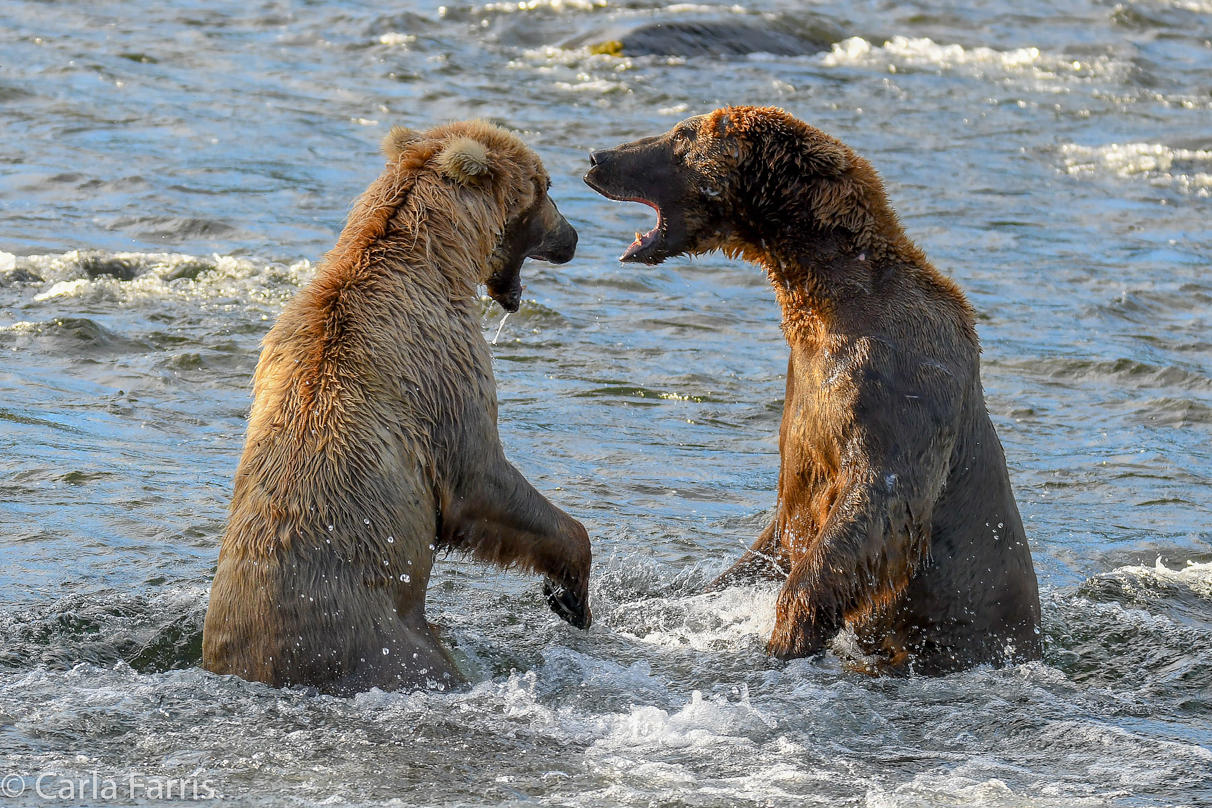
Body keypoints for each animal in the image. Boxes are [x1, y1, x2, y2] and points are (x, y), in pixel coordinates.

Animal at [203, 119, 591, 697]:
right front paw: (571, 594)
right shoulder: (442, 370)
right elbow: (481, 479)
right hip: (390, 648)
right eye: (545, 187)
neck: (441, 261)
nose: (571, 236)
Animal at [584, 109, 1042, 678]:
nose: (597, 156)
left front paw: (787, 633)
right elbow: (784, 524)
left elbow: (879, 503)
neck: (824, 296)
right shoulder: (802, 397)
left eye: (682, 135)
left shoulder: (895, 381)